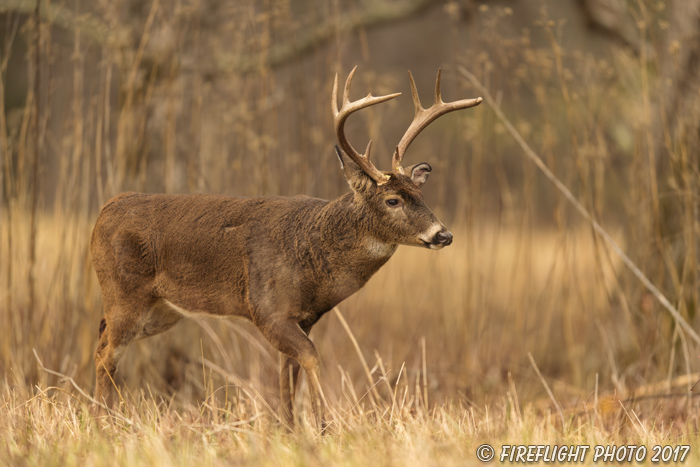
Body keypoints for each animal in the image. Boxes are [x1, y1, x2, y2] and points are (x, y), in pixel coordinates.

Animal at [90, 67, 478, 430]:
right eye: (393, 200)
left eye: (421, 194)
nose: (443, 234)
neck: (311, 253)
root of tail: (103, 210)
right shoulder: (267, 308)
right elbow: (311, 358)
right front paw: (323, 427)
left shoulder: (302, 318)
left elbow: (286, 374)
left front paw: (290, 430)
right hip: (124, 295)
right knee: (106, 353)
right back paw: (102, 423)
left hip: (161, 310)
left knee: (102, 340)